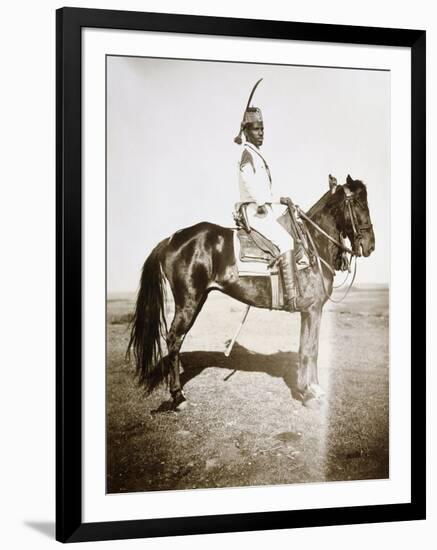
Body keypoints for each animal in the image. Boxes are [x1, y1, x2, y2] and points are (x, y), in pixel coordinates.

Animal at [127, 176, 374, 410]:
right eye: (359, 203)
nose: (370, 246)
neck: (313, 243)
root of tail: (171, 239)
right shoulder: (313, 309)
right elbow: (310, 350)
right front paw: (310, 393)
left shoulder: (309, 311)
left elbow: (306, 347)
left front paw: (310, 389)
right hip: (189, 301)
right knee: (174, 339)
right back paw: (178, 397)